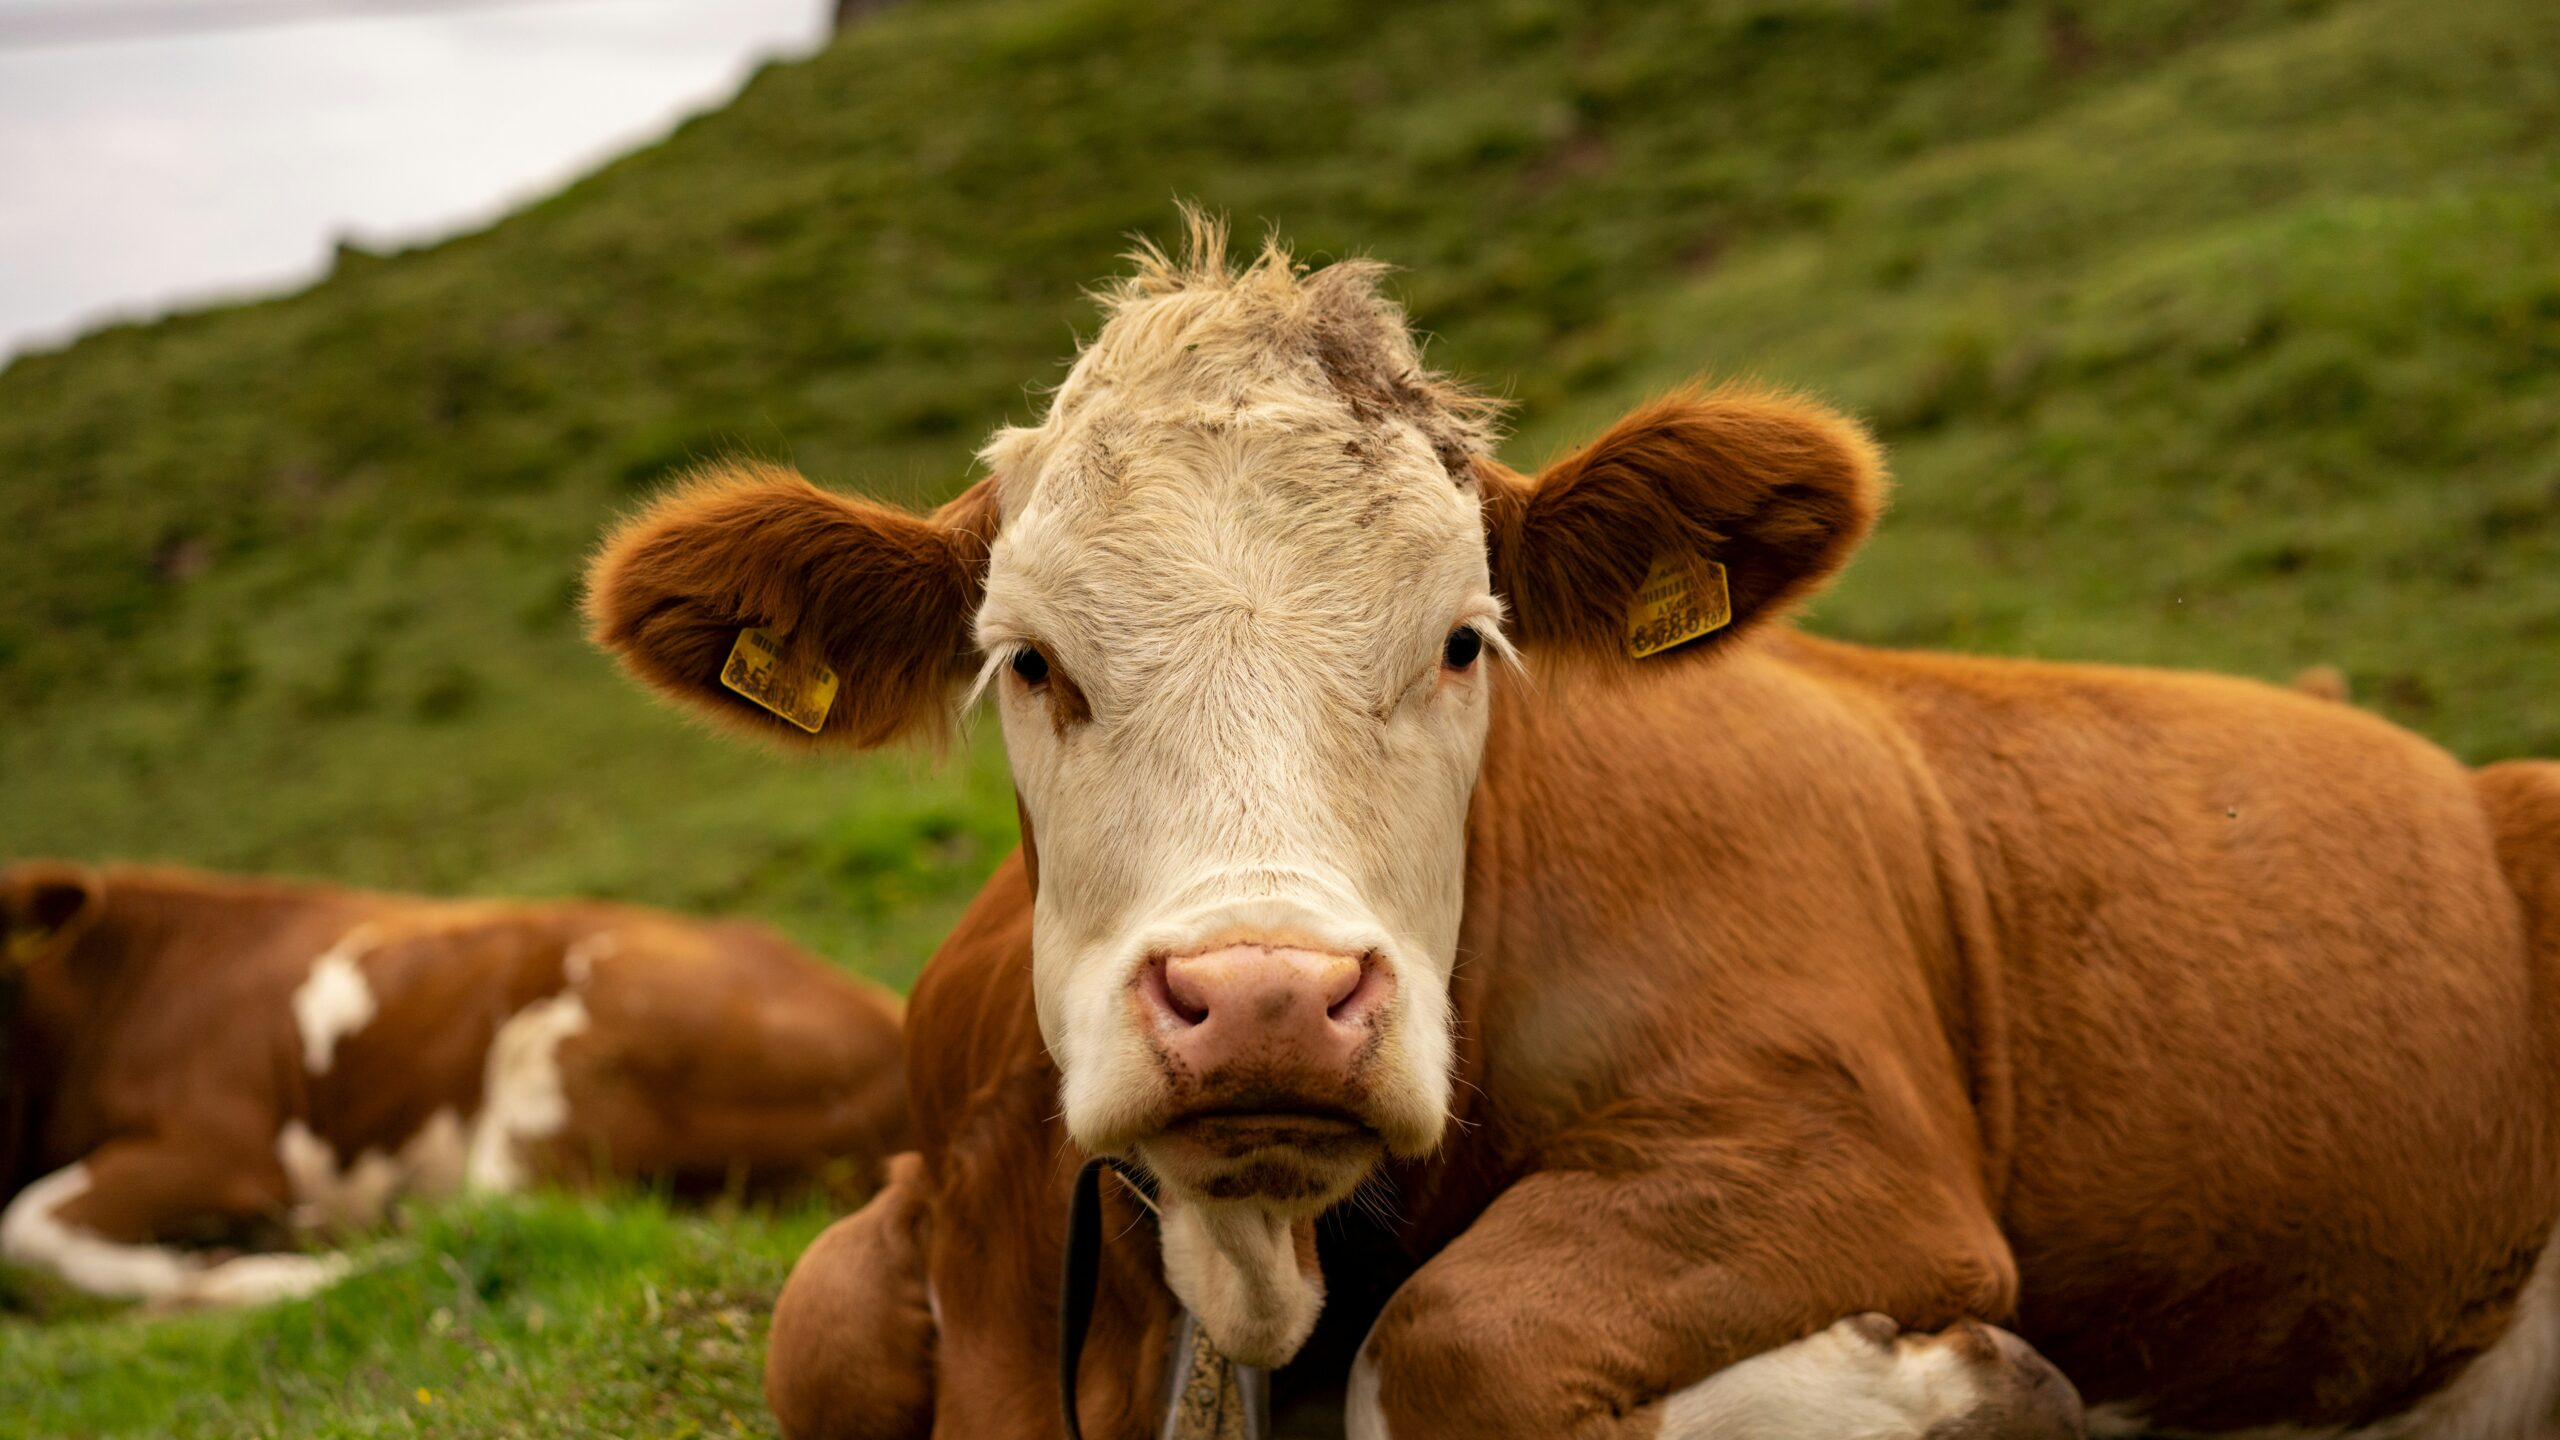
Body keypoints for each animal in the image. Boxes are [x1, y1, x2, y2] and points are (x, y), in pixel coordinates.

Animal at [581, 215, 2560, 1434]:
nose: (1271, 999)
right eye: (1029, 662)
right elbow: (821, 1323)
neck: (1244, 1281)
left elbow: (1454, 1340)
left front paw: (1945, 1388)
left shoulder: (1842, 1143)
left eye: (1467, 640)